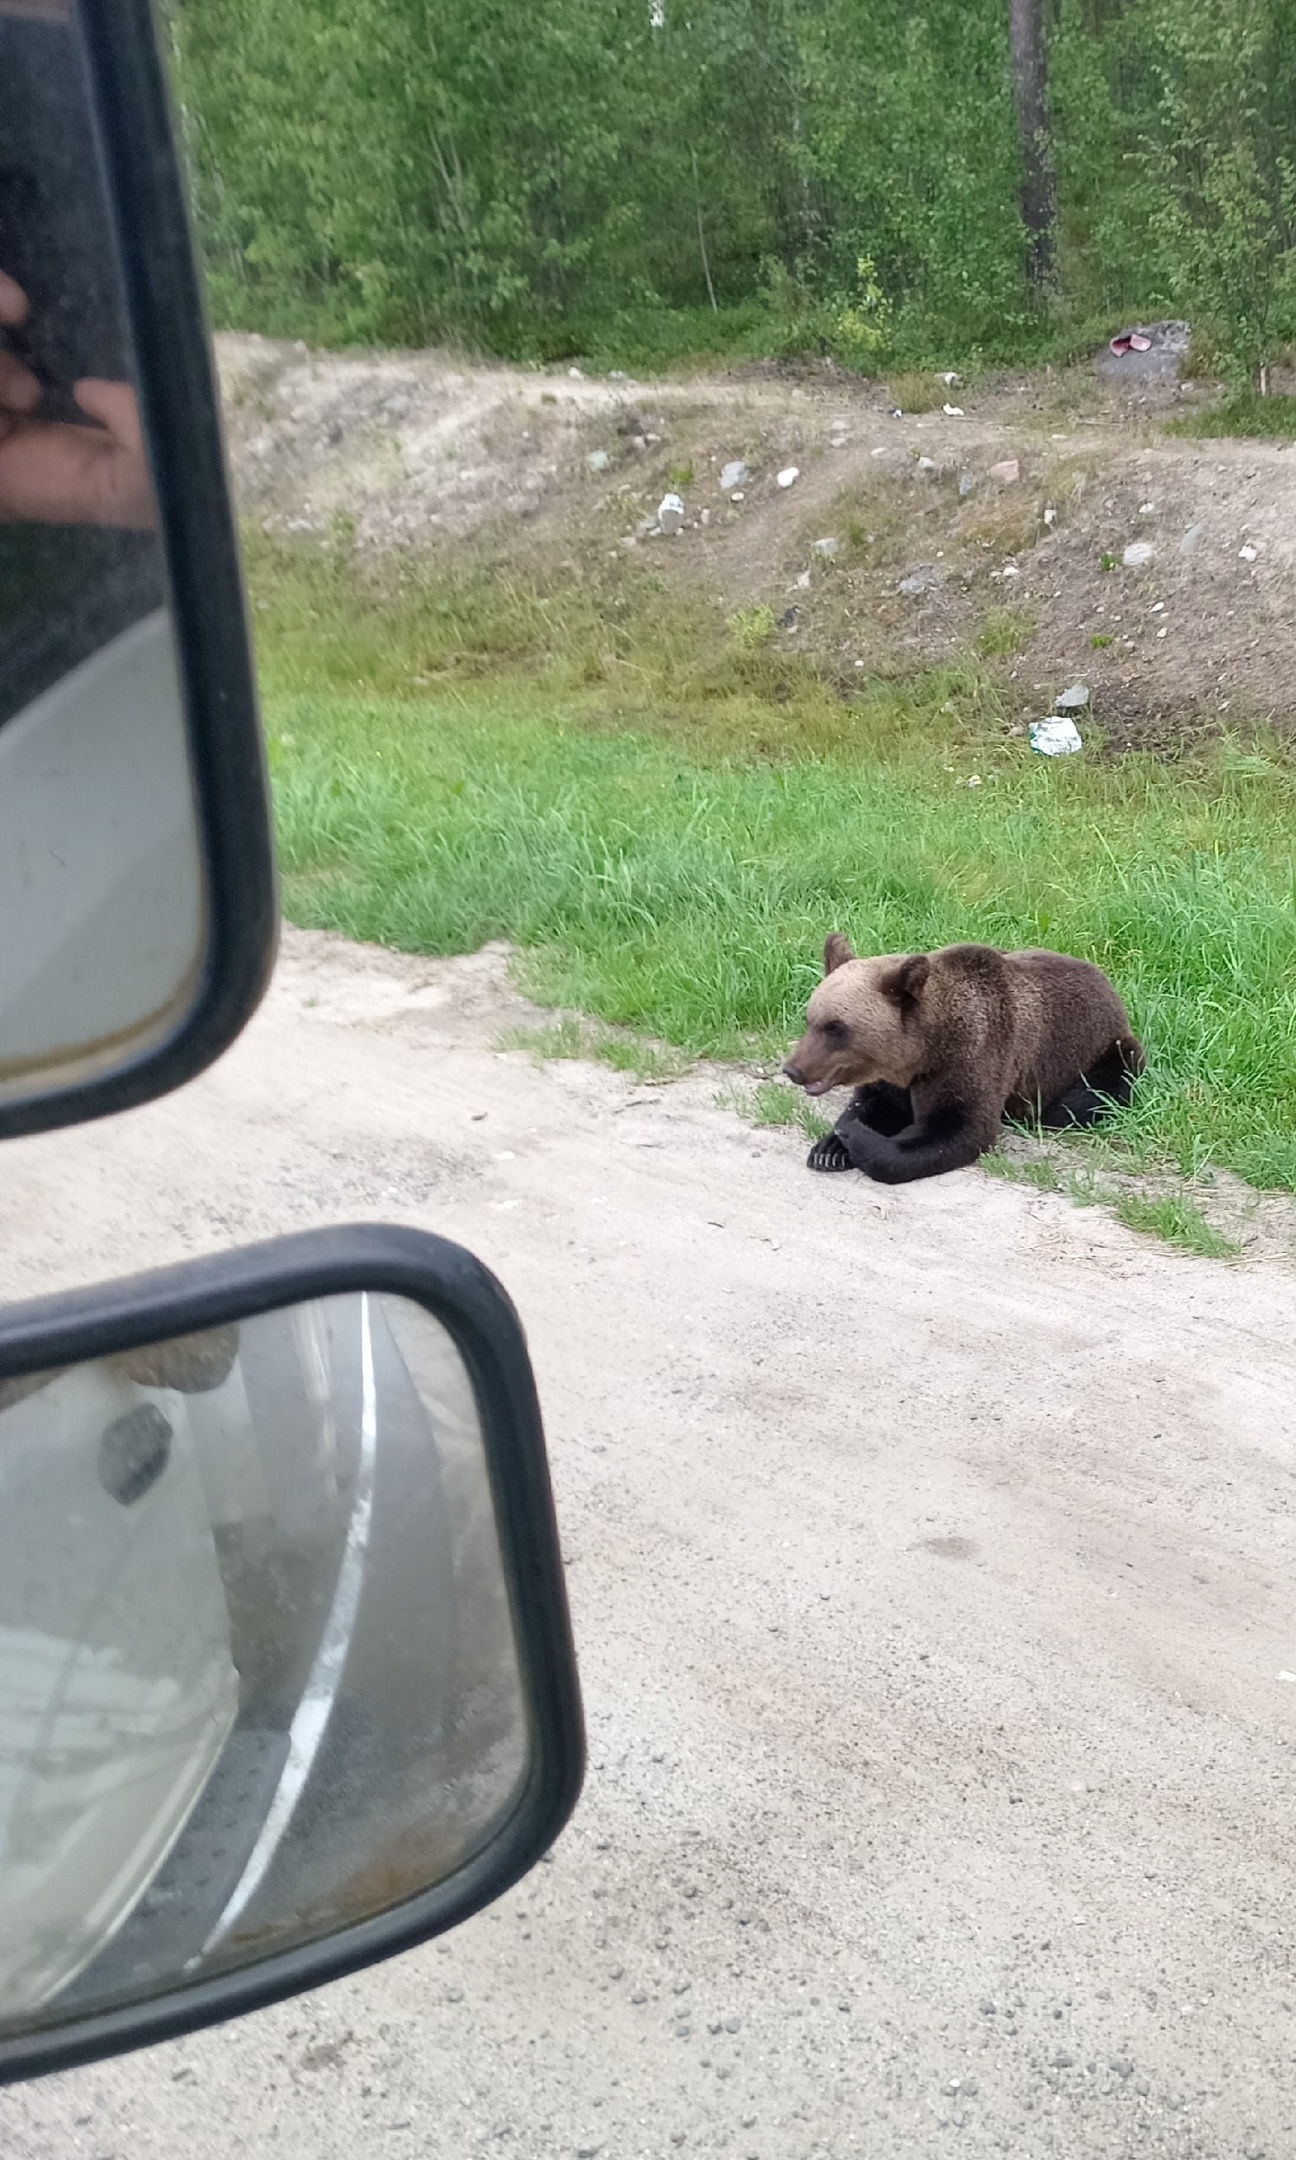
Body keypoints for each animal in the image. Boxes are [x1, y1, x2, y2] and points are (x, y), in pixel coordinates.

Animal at [777, 933, 1140, 1192]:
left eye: (836, 1027)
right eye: (810, 1019)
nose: (793, 1069)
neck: (922, 1052)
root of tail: (1108, 985)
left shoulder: (969, 1059)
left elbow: (956, 1129)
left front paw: (852, 1137)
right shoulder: (896, 1080)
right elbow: (875, 1104)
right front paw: (829, 1148)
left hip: (1105, 1051)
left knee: (1086, 1097)